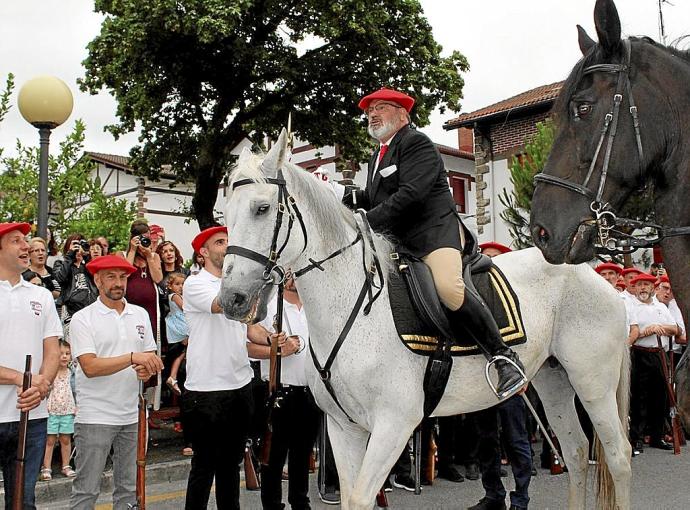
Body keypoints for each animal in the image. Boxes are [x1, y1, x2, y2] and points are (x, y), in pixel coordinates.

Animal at [219, 131, 628, 510]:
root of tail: (594, 275)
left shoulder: (393, 424)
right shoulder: (343, 426)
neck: (354, 307)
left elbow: (362, 498)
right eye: (226, 215)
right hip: (553, 379)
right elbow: (351, 498)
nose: (231, 299)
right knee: (576, 453)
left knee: (619, 457)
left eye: (261, 208)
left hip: (592, 383)